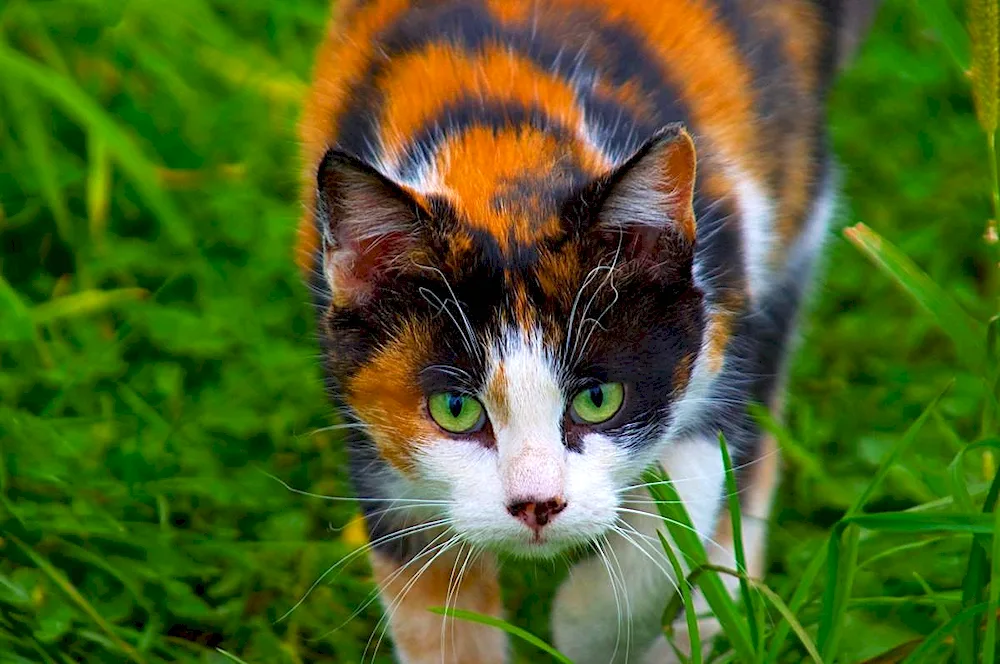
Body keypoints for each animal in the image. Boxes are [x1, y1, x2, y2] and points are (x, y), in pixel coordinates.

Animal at [294, 2, 876, 660]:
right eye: (454, 409)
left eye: (598, 398)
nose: (536, 505)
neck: (501, 142)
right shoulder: (370, 431)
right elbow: (430, 600)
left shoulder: (720, 312)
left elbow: (689, 486)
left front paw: (591, 625)